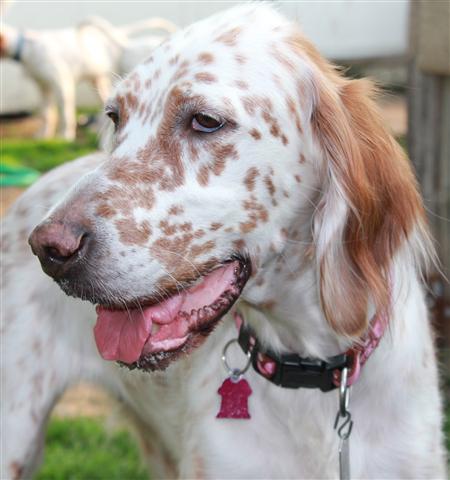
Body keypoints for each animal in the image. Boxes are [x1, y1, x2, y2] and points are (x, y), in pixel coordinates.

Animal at [0, 16, 176, 140]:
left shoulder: (62, 84)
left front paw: (65, 136)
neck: (26, 46)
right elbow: (47, 114)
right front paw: (43, 135)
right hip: (101, 81)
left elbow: (65, 113)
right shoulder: (43, 87)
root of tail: (125, 43)